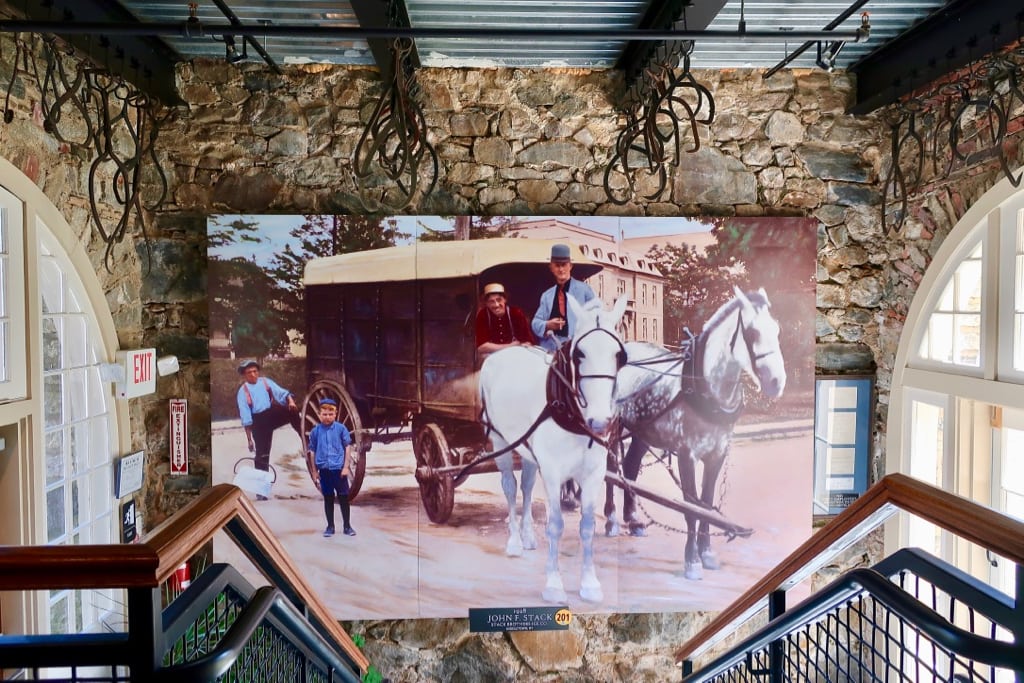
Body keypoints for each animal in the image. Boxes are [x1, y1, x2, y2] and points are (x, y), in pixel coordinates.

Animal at [481, 294, 630, 602]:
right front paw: (553, 584)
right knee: (510, 487)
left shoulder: (594, 472)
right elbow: (556, 525)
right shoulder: (551, 471)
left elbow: (587, 526)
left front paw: (589, 583)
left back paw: (527, 536)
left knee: (526, 486)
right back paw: (514, 541)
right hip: (501, 441)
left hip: (526, 447)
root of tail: (504, 351)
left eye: (618, 355)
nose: (600, 421)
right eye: (579, 354)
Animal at [610, 286, 786, 581]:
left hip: (642, 430)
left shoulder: (717, 455)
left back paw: (633, 520)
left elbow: (705, 504)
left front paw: (707, 553)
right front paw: (692, 561)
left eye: (776, 328)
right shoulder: (687, 455)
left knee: (630, 467)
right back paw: (610, 518)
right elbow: (690, 509)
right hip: (610, 427)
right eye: (752, 333)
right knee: (609, 469)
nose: (777, 382)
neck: (707, 392)